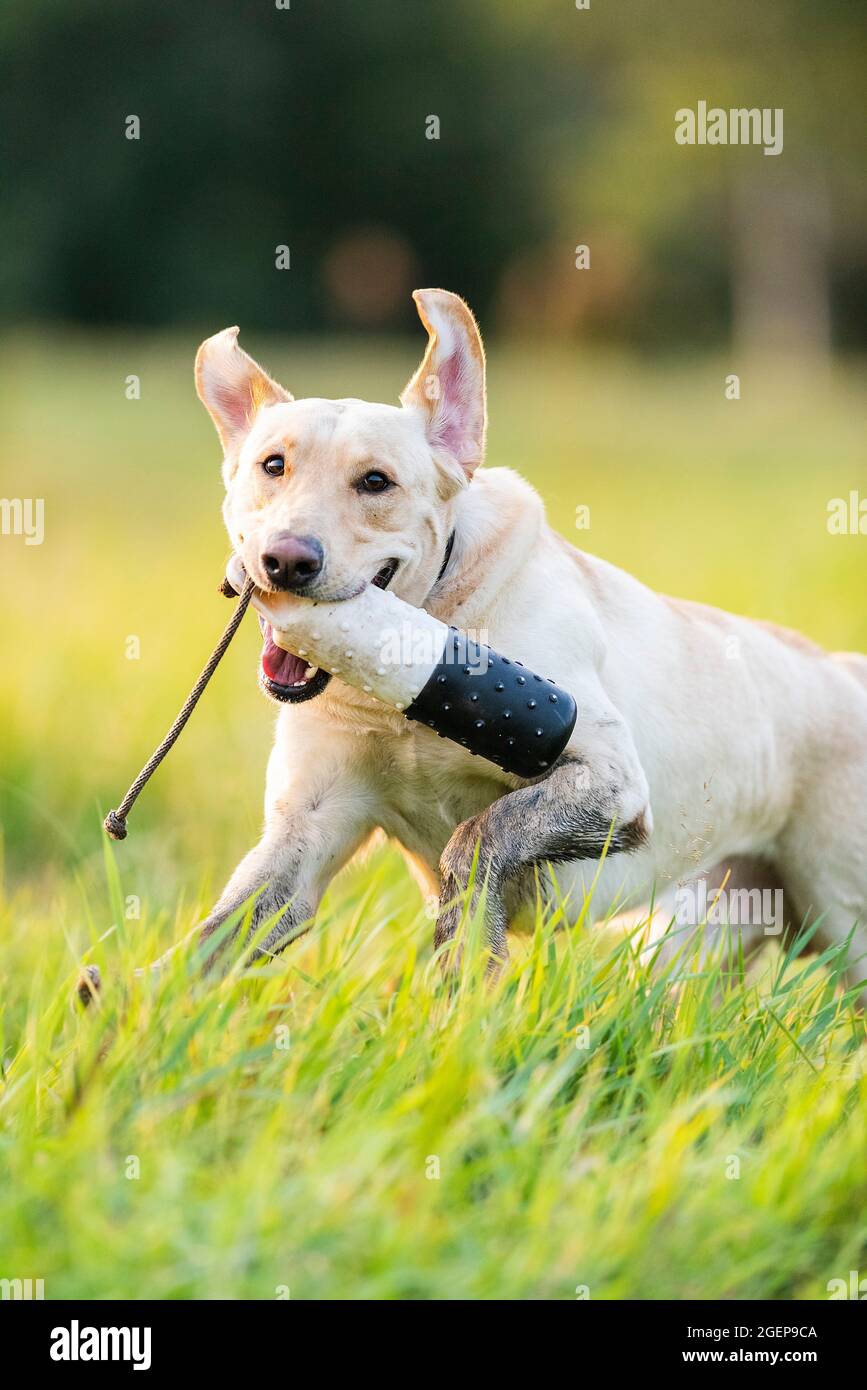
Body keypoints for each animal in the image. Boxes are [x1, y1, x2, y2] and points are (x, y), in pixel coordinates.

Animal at [193, 287, 867, 995]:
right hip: (698, 935)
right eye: (273, 466)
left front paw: (464, 982)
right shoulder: (303, 836)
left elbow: (477, 836)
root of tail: (846, 669)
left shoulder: (611, 779)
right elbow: (204, 948)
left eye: (376, 481)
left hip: (844, 922)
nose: (284, 561)